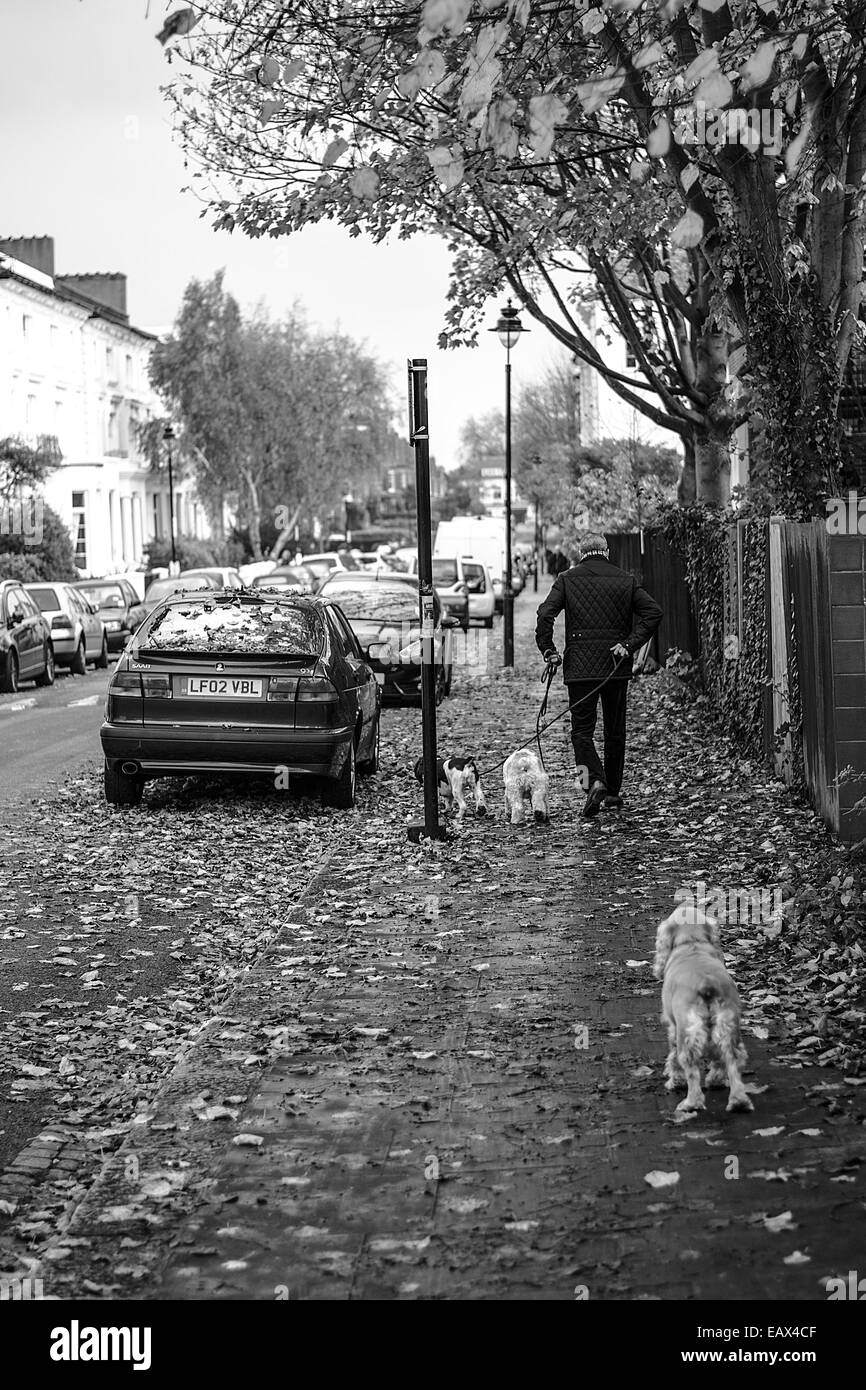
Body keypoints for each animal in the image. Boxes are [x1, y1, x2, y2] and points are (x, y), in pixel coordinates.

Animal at [653, 900, 756, 1117]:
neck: (691, 943)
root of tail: (706, 984)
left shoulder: (672, 1026)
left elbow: (673, 1058)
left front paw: (675, 1081)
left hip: (687, 1032)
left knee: (691, 1069)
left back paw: (690, 1103)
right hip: (727, 1026)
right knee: (731, 1060)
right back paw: (737, 1100)